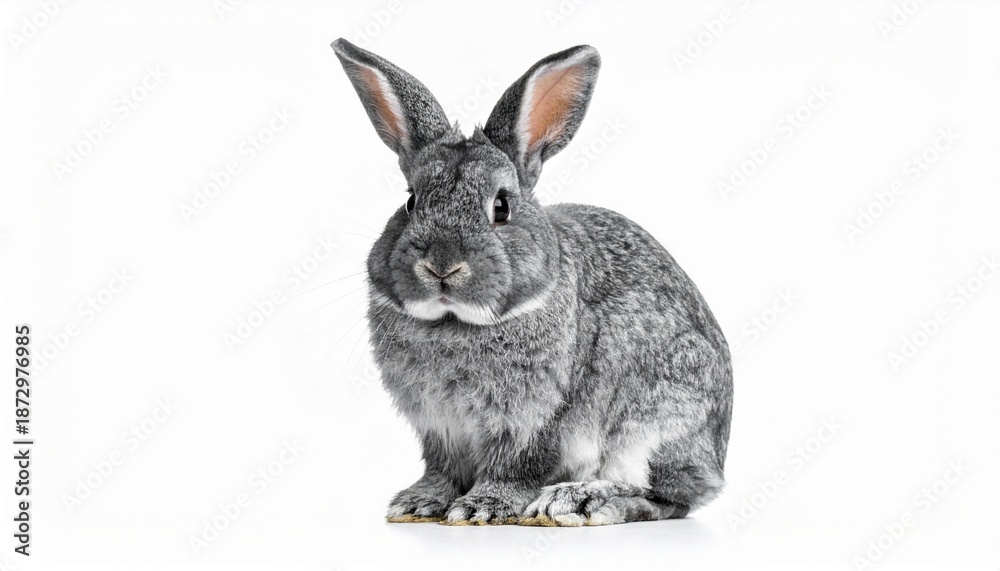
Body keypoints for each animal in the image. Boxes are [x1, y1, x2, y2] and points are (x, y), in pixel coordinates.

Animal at [331, 38, 733, 526]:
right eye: (410, 202)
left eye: (501, 206)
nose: (442, 265)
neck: (453, 322)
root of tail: (717, 456)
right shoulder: (440, 429)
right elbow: (442, 470)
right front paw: (419, 501)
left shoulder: (534, 422)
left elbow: (516, 469)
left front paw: (482, 507)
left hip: (658, 420)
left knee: (669, 497)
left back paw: (577, 501)